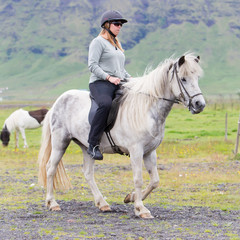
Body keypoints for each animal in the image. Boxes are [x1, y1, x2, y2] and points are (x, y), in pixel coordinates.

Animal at [38, 53, 205, 218]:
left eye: (197, 77)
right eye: (183, 79)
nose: (200, 104)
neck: (146, 108)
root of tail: (57, 102)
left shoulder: (150, 152)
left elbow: (155, 181)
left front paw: (131, 197)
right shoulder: (136, 151)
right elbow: (138, 179)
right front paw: (140, 208)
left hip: (87, 147)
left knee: (88, 173)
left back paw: (103, 204)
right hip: (60, 142)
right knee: (50, 168)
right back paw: (52, 203)